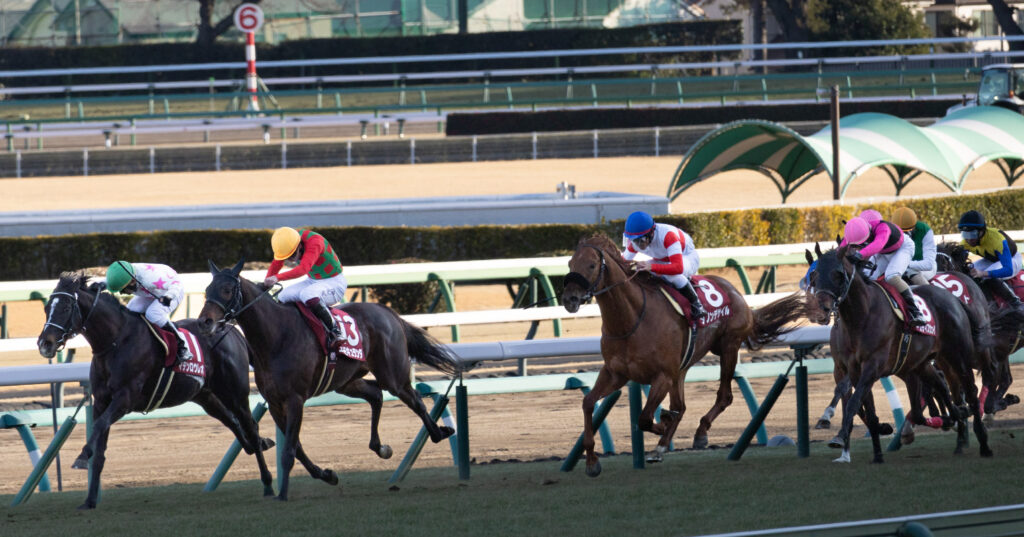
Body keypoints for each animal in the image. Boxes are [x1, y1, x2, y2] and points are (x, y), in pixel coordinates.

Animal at [35, 272, 274, 510]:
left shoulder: (125, 398)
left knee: (250, 426)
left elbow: (100, 425)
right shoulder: (102, 401)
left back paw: (268, 484)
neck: (115, 341)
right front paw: (90, 500)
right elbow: (100, 448)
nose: (45, 343)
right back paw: (259, 446)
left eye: (66, 307)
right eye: (46, 308)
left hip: (235, 393)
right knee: (233, 422)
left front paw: (82, 457)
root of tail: (232, 330)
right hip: (206, 396)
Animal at [196, 259, 460, 501]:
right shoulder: (275, 403)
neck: (276, 336)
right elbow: (297, 448)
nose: (204, 322)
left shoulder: (295, 399)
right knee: (376, 395)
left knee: (415, 399)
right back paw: (381, 447)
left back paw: (439, 432)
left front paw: (283, 494)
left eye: (227, 290)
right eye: (207, 290)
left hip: (393, 375)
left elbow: (289, 451)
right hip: (347, 381)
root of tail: (387, 312)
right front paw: (327, 475)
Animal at [560, 234, 806, 477]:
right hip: (683, 367)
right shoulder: (615, 373)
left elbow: (645, 418)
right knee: (682, 405)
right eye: (570, 264)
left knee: (724, 396)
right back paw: (663, 443)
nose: (570, 299)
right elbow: (588, 403)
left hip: (728, 347)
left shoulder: (662, 376)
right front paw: (592, 461)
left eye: (592, 265)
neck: (631, 320)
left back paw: (699, 433)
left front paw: (663, 425)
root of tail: (737, 294)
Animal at [806, 245, 992, 462]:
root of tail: (952, 297)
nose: (821, 310)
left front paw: (842, 436)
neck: (860, 316)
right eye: (814, 276)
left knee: (970, 391)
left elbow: (852, 402)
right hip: (922, 363)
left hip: (958, 354)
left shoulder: (873, 365)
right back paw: (955, 417)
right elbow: (862, 406)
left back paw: (982, 441)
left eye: (838, 274)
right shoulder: (851, 369)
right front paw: (877, 450)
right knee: (941, 386)